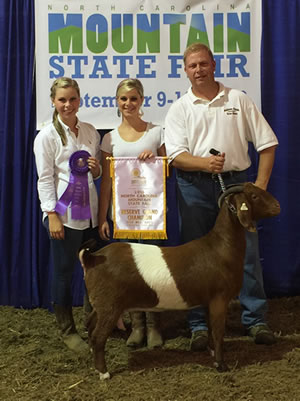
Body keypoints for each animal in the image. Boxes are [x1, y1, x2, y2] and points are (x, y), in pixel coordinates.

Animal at [78, 183, 280, 380]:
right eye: (254, 196)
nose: (277, 206)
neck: (220, 248)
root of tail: (91, 258)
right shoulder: (219, 299)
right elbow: (218, 331)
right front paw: (221, 365)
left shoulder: (208, 301)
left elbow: (211, 330)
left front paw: (211, 351)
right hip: (110, 306)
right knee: (98, 336)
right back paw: (104, 373)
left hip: (100, 304)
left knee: (89, 324)